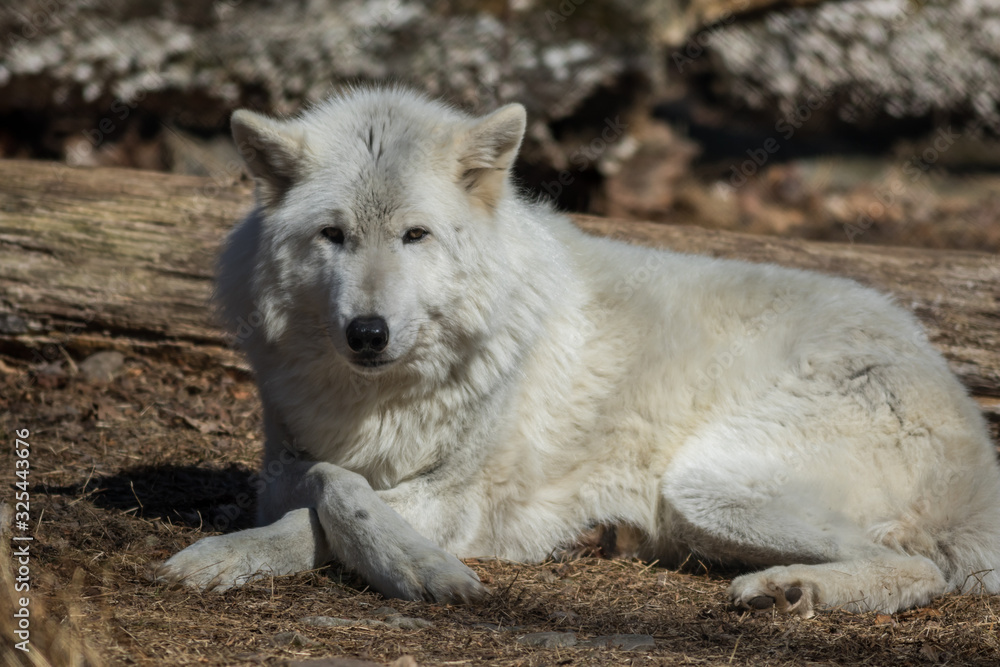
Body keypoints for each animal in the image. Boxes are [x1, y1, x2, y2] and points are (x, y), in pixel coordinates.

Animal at [156, 86, 1000, 620]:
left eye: (414, 235)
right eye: (333, 234)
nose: (368, 332)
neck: (382, 399)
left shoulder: (457, 496)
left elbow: (332, 493)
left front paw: (421, 569)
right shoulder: (285, 462)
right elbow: (313, 491)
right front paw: (229, 555)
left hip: (708, 485)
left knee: (923, 566)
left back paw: (793, 590)